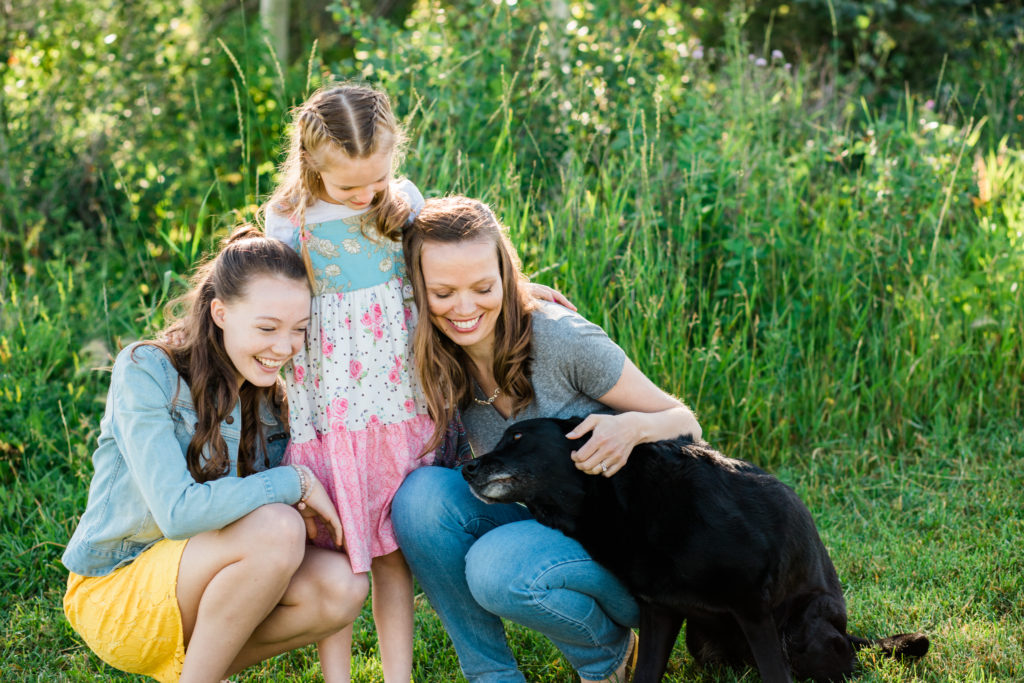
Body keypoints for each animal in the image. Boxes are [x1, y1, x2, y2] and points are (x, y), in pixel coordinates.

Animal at [464, 417, 929, 683]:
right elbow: (645, 674)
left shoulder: (752, 607)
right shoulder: (659, 611)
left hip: (802, 633)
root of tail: (846, 632)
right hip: (702, 643)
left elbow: (776, 675)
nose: (466, 467)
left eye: (517, 438)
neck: (631, 502)